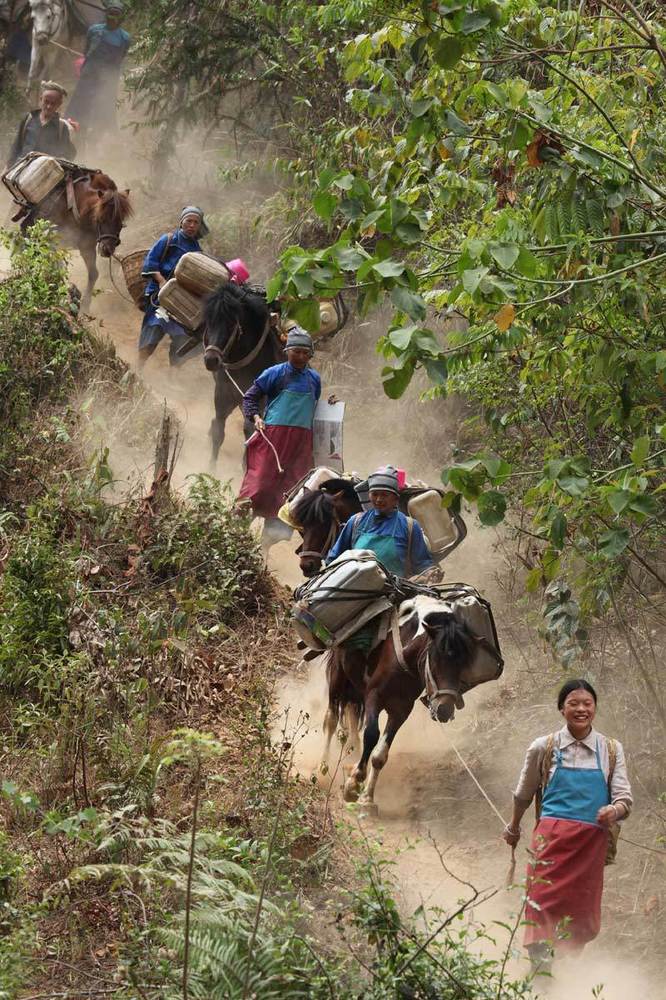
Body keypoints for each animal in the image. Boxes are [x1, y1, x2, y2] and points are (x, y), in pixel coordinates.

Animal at [25, 168, 131, 310]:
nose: (108, 249)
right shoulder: (54, 243)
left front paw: (85, 305)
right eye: (100, 218)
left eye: (121, 221)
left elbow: (93, 273)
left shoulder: (87, 246)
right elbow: (58, 271)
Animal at [324, 592, 500, 812]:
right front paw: (354, 783)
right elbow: (371, 735)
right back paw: (323, 766)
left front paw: (367, 799)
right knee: (331, 719)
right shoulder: (374, 696)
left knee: (352, 714)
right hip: (338, 676)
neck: (406, 660)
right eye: (436, 659)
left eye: (464, 666)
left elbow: (380, 755)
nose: (444, 710)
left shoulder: (401, 710)